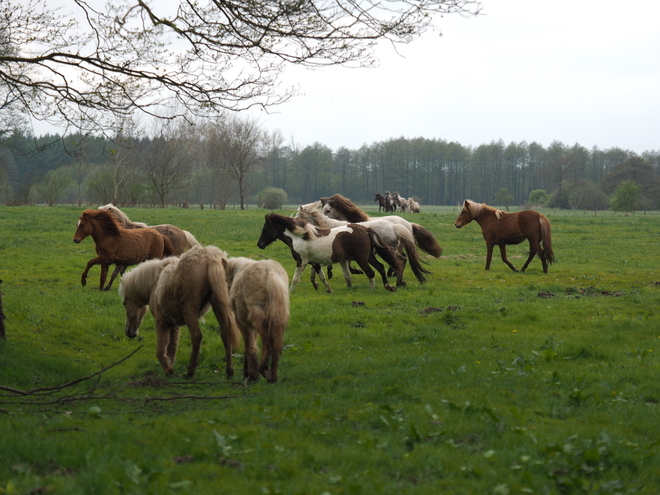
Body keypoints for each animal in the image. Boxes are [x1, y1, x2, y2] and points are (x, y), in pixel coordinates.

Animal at [118, 245, 242, 380]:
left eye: (124, 303)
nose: (129, 332)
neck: (155, 280)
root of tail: (210, 258)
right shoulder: (174, 324)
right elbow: (172, 348)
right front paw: (170, 367)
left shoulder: (161, 322)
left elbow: (161, 350)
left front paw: (168, 370)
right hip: (218, 307)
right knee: (226, 334)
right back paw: (229, 372)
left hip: (190, 312)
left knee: (196, 337)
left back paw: (190, 373)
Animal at [224, 258, 288, 386]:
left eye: (226, 279)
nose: (229, 302)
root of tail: (269, 271)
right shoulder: (252, 327)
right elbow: (250, 346)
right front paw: (248, 373)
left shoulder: (242, 323)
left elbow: (250, 346)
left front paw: (251, 376)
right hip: (278, 318)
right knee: (277, 345)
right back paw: (273, 377)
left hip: (256, 317)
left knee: (267, 342)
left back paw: (263, 370)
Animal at [256, 211, 402, 292]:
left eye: (266, 228)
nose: (260, 244)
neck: (299, 237)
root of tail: (365, 230)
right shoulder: (314, 263)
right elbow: (322, 277)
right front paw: (328, 290)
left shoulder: (301, 262)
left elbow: (295, 279)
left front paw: (290, 292)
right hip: (369, 257)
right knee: (381, 267)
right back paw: (389, 287)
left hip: (362, 259)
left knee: (371, 273)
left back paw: (373, 291)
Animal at [292, 202, 428, 286]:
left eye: (299, 215)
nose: (292, 225)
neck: (331, 228)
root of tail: (395, 226)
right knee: (402, 260)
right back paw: (399, 281)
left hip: (392, 249)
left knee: (401, 260)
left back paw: (398, 282)